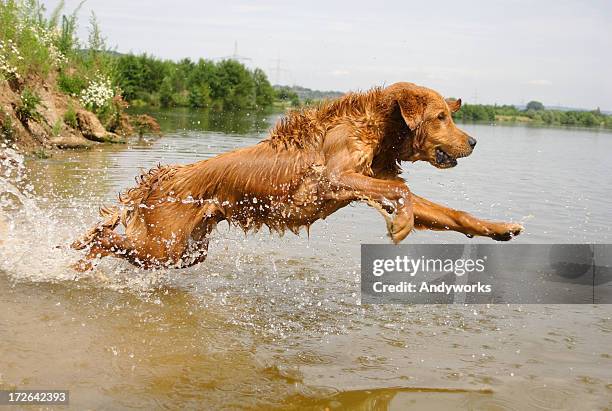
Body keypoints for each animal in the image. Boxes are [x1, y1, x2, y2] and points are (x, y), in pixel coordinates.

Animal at [71, 82, 520, 272]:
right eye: (441, 117)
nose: (474, 141)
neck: (377, 127)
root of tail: (160, 178)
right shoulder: (333, 178)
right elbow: (399, 191)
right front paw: (402, 224)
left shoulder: (367, 178)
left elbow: (449, 212)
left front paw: (501, 228)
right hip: (160, 246)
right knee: (105, 240)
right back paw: (78, 258)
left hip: (184, 251)